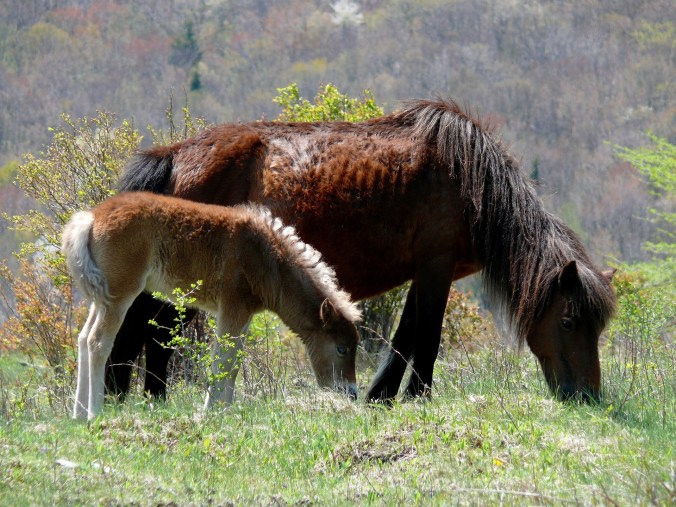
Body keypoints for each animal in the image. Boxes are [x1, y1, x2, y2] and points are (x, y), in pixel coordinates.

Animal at [62, 191, 361, 420]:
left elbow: (234, 360)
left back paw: (78, 414)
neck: (268, 259)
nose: (352, 393)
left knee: (83, 338)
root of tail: (91, 217)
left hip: (101, 299)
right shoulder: (233, 308)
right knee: (98, 342)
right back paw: (95, 413)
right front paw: (211, 411)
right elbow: (223, 360)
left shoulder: (244, 314)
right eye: (341, 348)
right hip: (120, 294)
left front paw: (225, 410)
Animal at [110, 98, 616, 403]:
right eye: (568, 321)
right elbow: (426, 339)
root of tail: (176, 154)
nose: (588, 397)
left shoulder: (428, 273)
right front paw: (416, 397)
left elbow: (404, 337)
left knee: (151, 331)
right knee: (148, 329)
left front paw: (382, 396)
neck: (472, 183)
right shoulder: (435, 270)